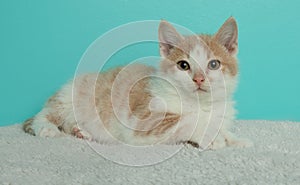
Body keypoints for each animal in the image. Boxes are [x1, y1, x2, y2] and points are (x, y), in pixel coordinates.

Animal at [22, 17, 251, 150]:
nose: (199, 79)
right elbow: (186, 121)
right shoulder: (142, 122)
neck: (201, 104)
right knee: (47, 114)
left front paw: (235, 139)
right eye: (183, 65)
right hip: (70, 97)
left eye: (214, 64)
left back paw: (81, 131)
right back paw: (46, 127)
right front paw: (212, 136)